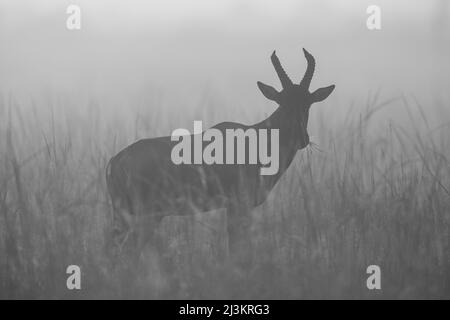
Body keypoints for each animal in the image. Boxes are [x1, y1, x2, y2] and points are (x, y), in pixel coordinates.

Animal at [106, 48, 334, 264]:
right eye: (282, 102)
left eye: (308, 103)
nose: (303, 138)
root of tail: (116, 161)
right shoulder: (237, 206)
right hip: (146, 214)